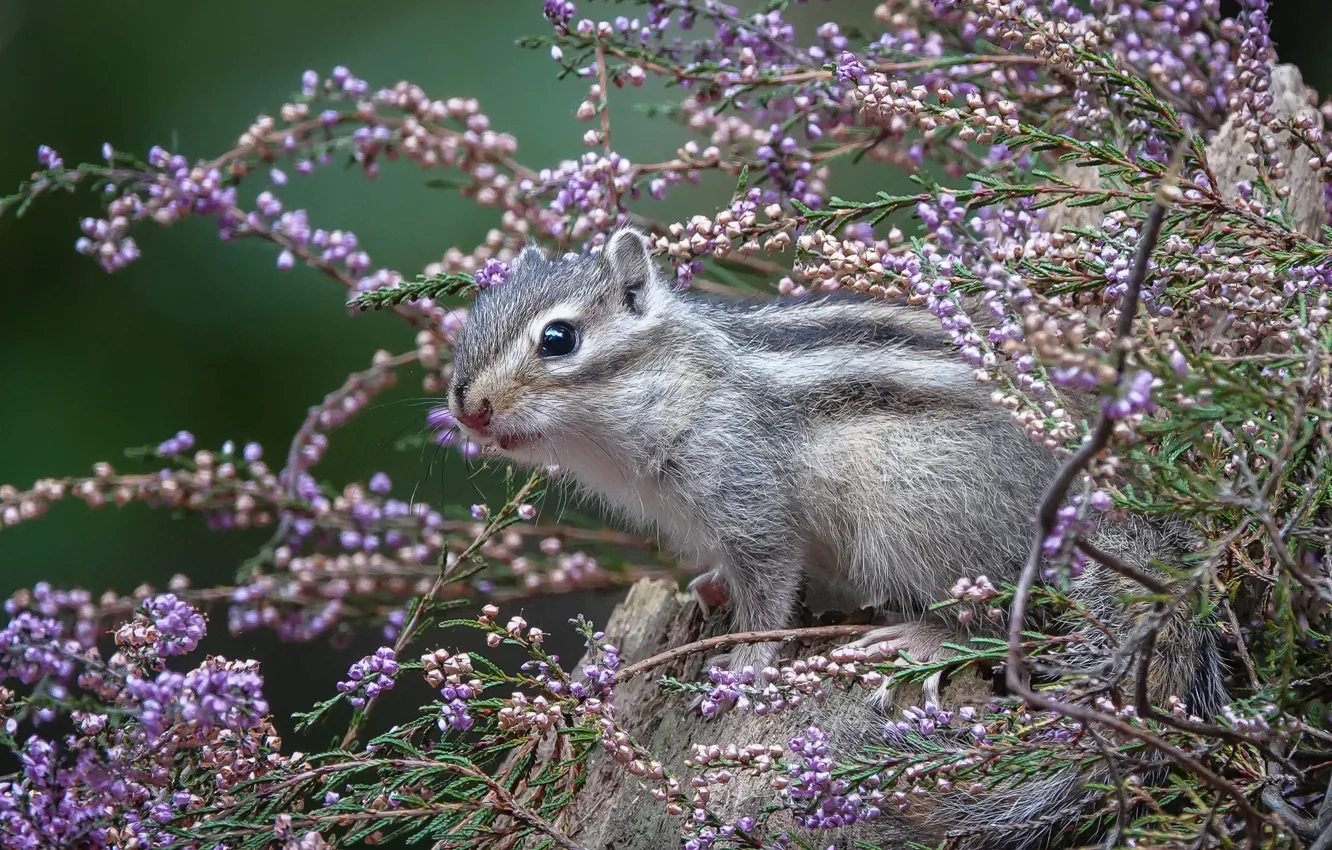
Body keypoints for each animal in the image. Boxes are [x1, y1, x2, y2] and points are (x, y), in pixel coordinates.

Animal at [446, 226, 1227, 848]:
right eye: (469, 326)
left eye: (558, 339)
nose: (469, 410)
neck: (674, 384)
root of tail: (1107, 507)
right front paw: (710, 590)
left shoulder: (749, 497)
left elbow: (768, 593)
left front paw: (742, 670)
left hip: (915, 514)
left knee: (996, 620)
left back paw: (919, 639)